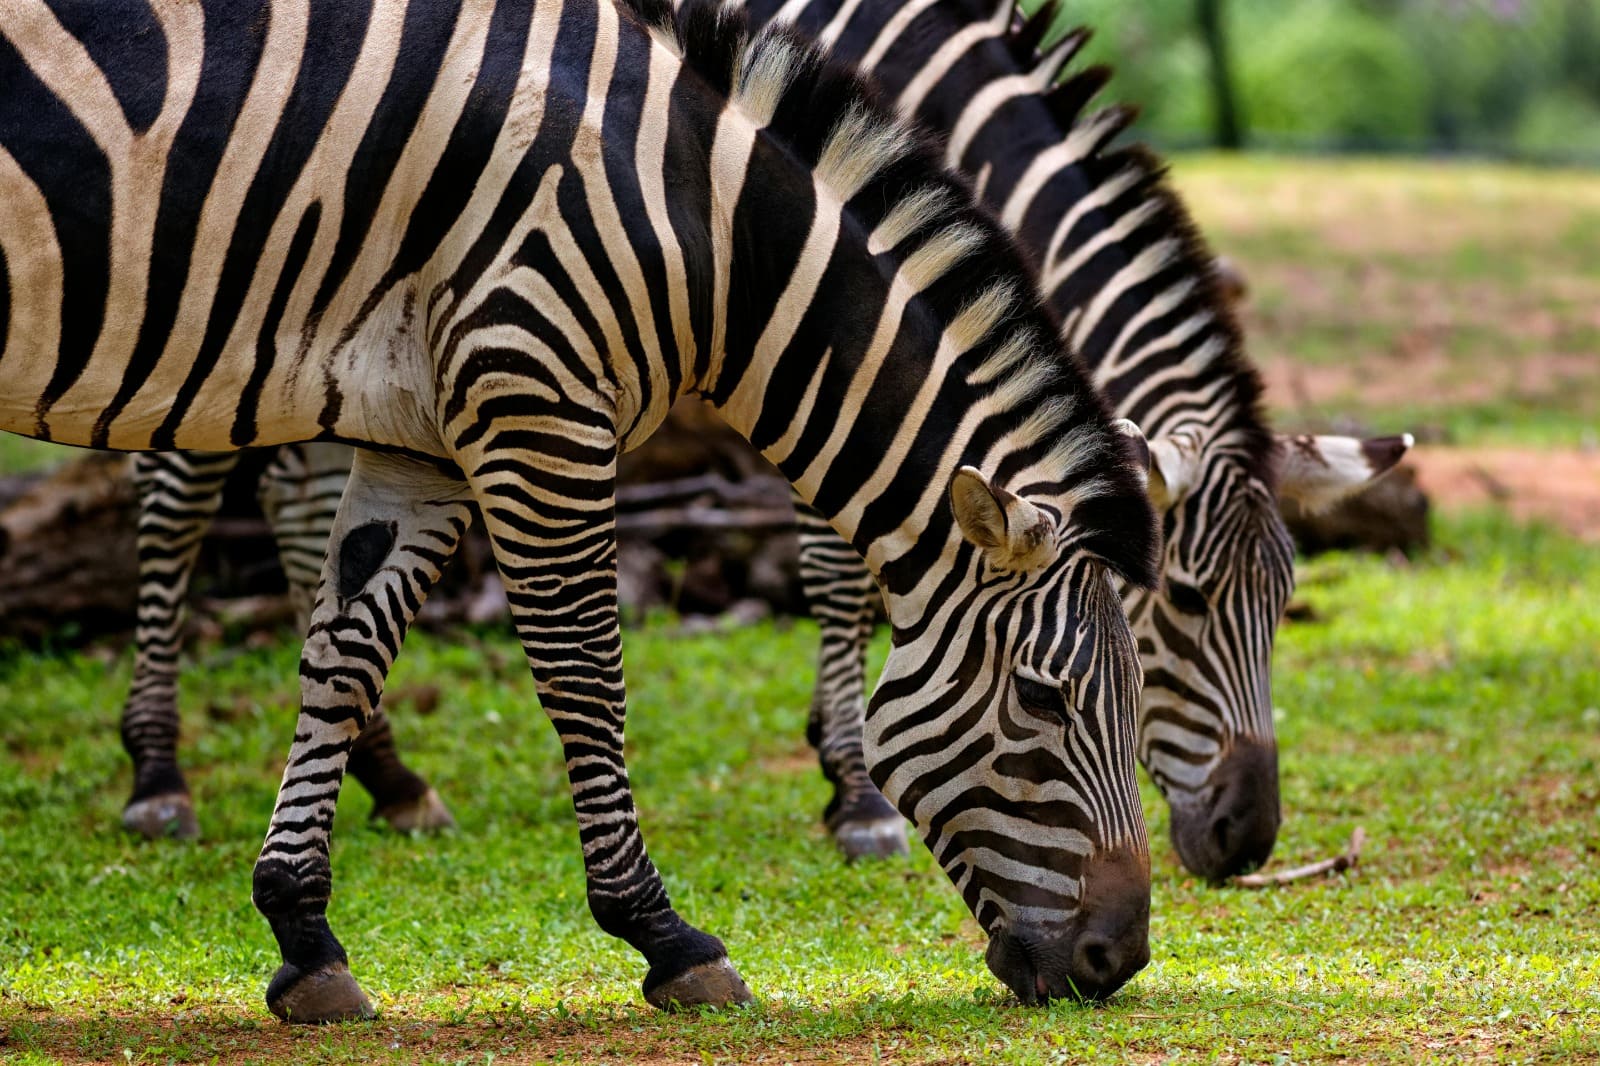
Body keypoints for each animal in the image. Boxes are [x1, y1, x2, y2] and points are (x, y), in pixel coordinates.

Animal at [740, 0, 1413, 875]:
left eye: (1284, 602)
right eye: (1186, 599)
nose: (1247, 841)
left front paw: (836, 749)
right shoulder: (822, 358)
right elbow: (841, 575)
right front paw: (859, 798)